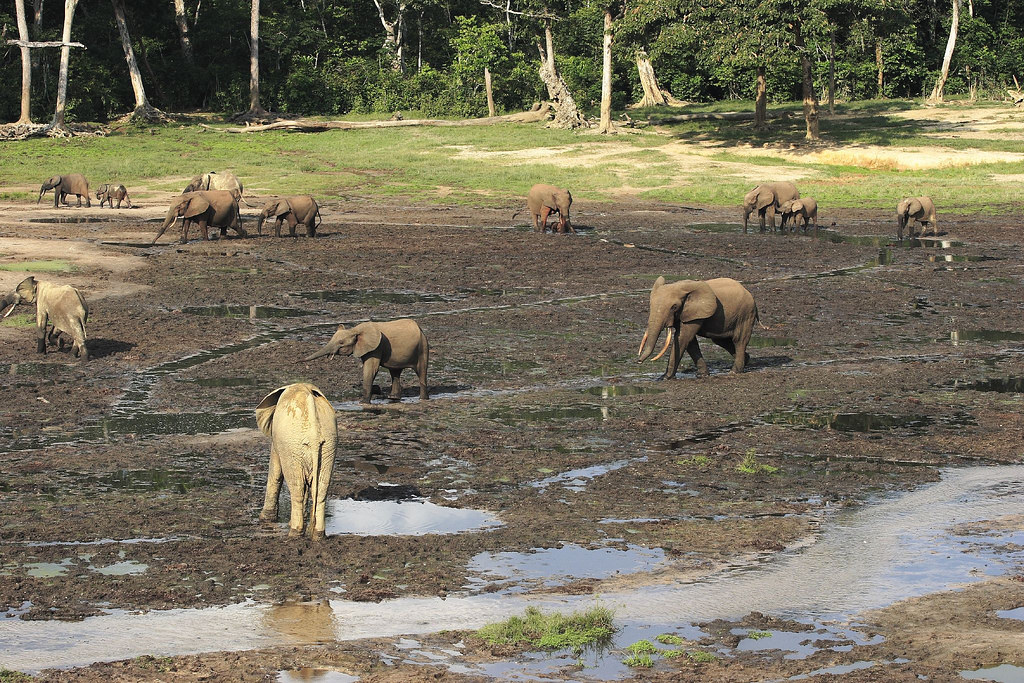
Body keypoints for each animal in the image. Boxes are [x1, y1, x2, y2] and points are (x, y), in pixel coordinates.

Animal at [256, 383, 338, 540]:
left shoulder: (278, 441)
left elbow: (275, 471)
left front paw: (264, 519)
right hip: (328, 445)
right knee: (321, 489)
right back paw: (317, 536)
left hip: (292, 445)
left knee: (297, 488)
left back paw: (294, 534)